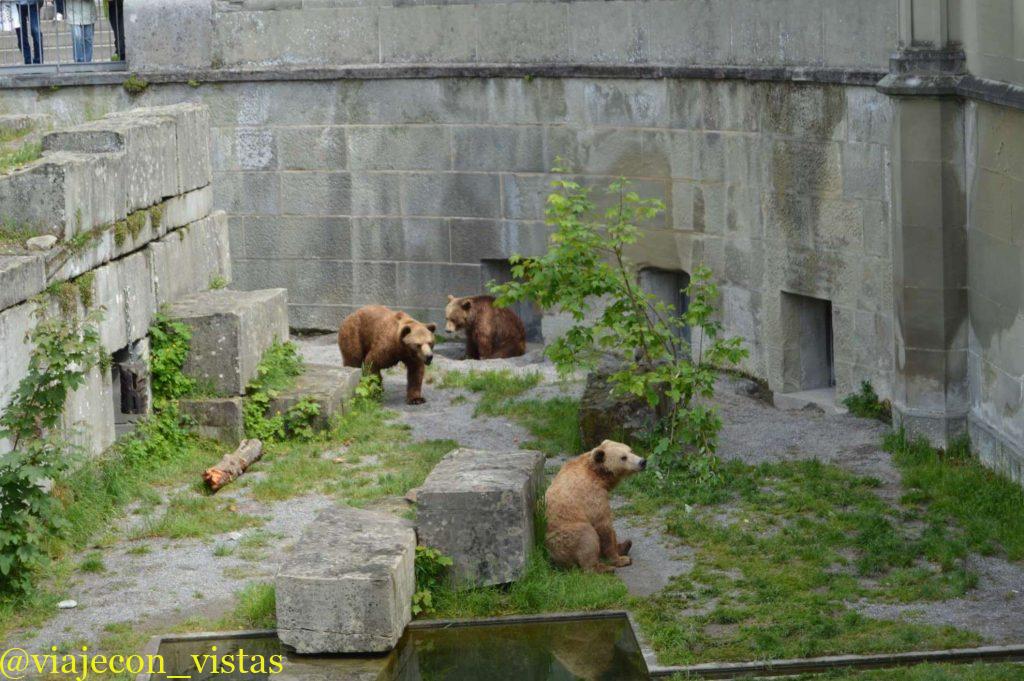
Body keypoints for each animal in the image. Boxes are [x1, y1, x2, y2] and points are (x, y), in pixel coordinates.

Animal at [544, 440, 647, 573]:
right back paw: (605, 568)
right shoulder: (592, 495)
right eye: (623, 457)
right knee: (587, 538)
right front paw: (620, 559)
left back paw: (626, 545)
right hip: (566, 534)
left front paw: (622, 547)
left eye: (631, 450)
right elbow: (603, 525)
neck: (599, 475)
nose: (642, 462)